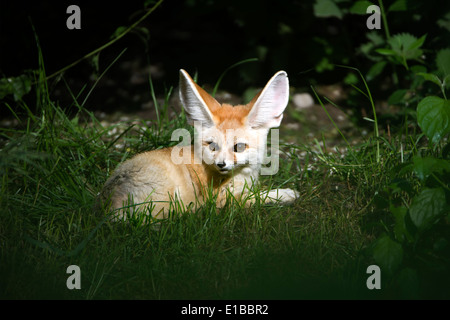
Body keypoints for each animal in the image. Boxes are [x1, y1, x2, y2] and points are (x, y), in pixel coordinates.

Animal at [100, 69, 300, 220]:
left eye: (239, 147)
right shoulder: (224, 200)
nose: (221, 164)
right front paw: (284, 194)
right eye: (212, 146)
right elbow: (257, 197)